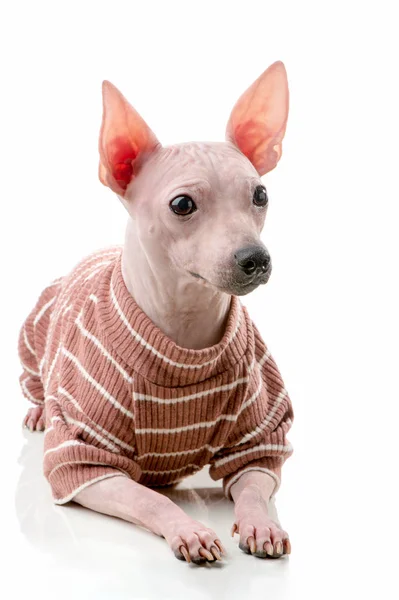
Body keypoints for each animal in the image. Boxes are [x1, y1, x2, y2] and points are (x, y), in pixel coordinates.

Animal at [18, 61, 294, 564]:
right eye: (182, 204)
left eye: (261, 195)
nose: (256, 258)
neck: (183, 335)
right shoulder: (86, 461)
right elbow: (150, 498)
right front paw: (187, 529)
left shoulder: (260, 438)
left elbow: (252, 487)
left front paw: (261, 524)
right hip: (30, 337)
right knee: (35, 386)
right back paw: (38, 410)